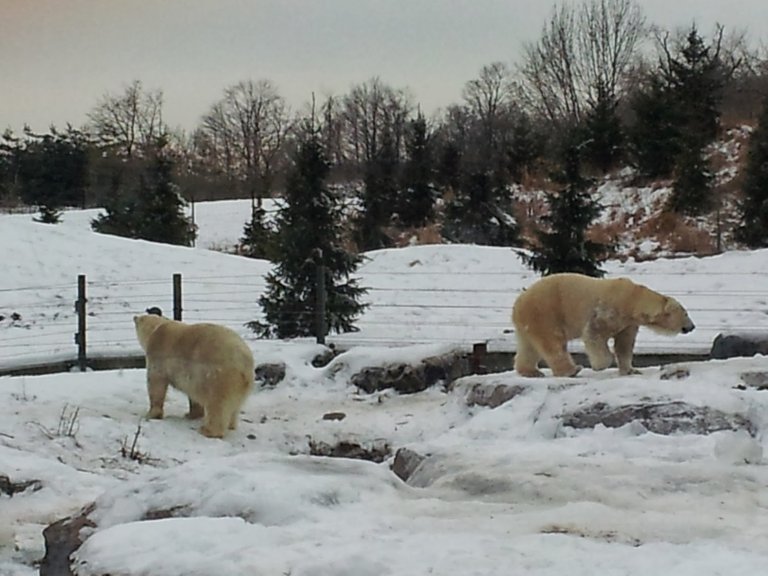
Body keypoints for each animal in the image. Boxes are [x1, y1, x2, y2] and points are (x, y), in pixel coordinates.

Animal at [510, 274, 696, 378]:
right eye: (686, 313)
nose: (692, 326)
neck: (631, 298)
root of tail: (519, 302)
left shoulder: (628, 323)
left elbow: (624, 345)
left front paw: (631, 370)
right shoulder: (608, 311)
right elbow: (594, 335)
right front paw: (601, 365)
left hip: (530, 320)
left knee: (529, 346)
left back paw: (531, 371)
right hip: (545, 312)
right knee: (553, 343)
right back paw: (571, 370)